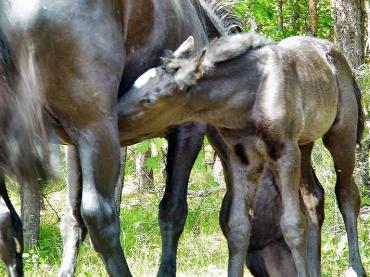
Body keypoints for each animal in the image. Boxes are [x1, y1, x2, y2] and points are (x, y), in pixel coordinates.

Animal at [118, 33, 368, 274]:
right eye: (135, 83)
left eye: (150, 101)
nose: (115, 122)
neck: (247, 102)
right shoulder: (241, 158)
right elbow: (238, 228)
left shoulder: (285, 152)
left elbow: (293, 225)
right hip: (305, 143)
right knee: (314, 196)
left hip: (341, 134)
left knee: (347, 192)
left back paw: (355, 268)